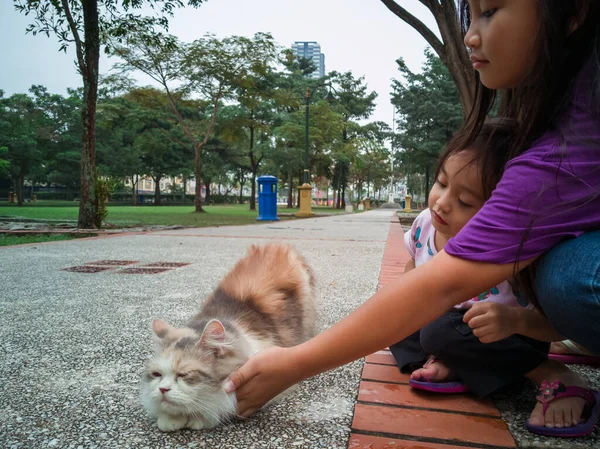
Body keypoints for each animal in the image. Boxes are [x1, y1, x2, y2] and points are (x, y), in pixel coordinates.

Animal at [141, 243, 318, 432]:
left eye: (184, 374)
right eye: (156, 374)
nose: (162, 389)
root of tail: (277, 245)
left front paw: (198, 419)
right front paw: (171, 419)